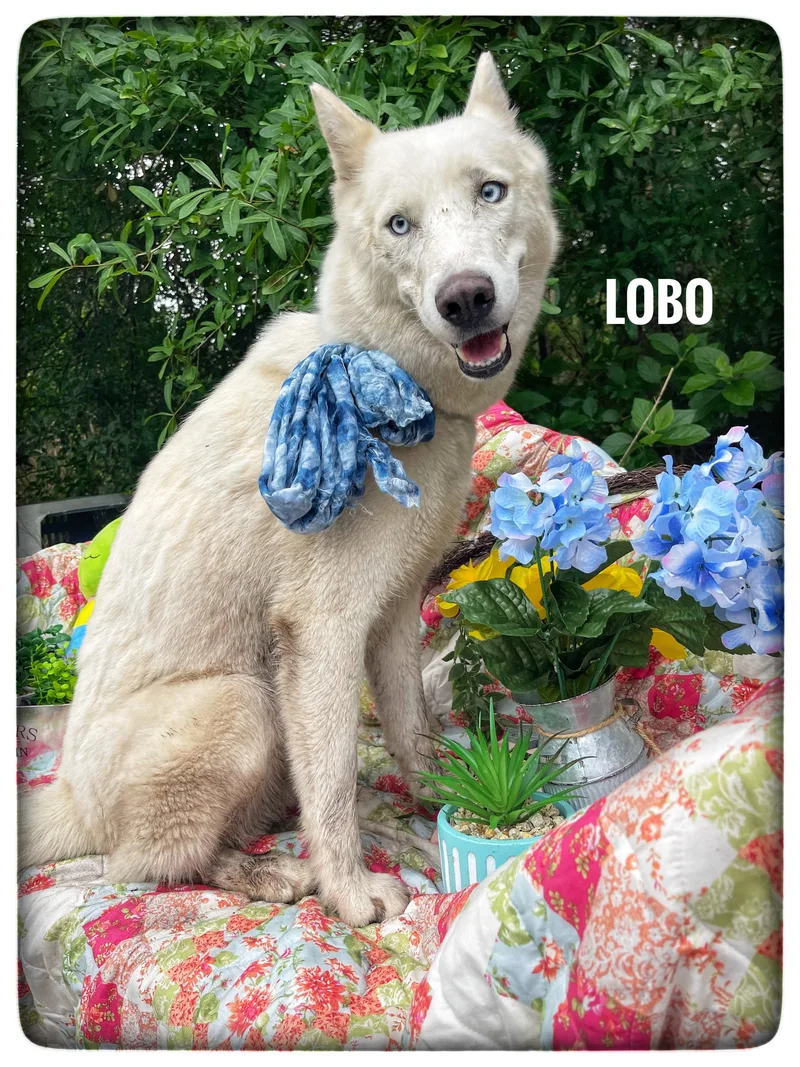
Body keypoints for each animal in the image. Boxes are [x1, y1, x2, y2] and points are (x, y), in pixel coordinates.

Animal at [19, 54, 558, 926]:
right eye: (399, 225)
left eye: (490, 190)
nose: (466, 297)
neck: (390, 383)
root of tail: (66, 798)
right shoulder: (323, 632)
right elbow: (332, 780)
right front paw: (352, 889)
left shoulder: (394, 610)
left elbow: (408, 725)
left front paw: (442, 790)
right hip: (244, 704)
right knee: (144, 864)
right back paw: (271, 874)